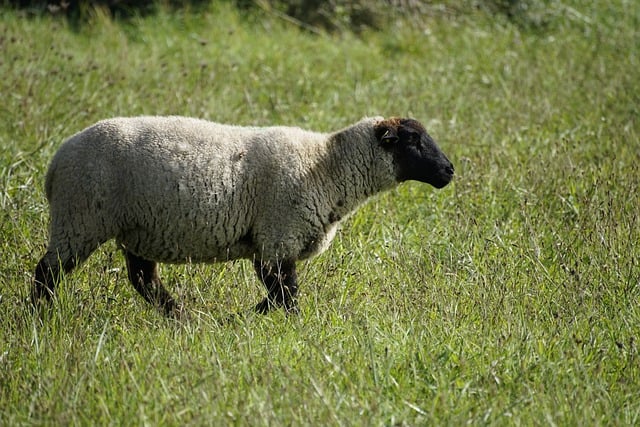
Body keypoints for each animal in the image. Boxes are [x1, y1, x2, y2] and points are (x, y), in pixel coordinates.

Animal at [32, 116, 456, 318]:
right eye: (414, 142)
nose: (449, 171)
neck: (326, 167)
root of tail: (54, 165)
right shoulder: (278, 235)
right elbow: (285, 293)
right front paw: (274, 323)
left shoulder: (270, 242)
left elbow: (279, 294)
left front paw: (243, 318)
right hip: (80, 218)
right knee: (47, 273)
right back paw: (39, 317)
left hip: (136, 228)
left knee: (143, 280)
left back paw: (182, 318)